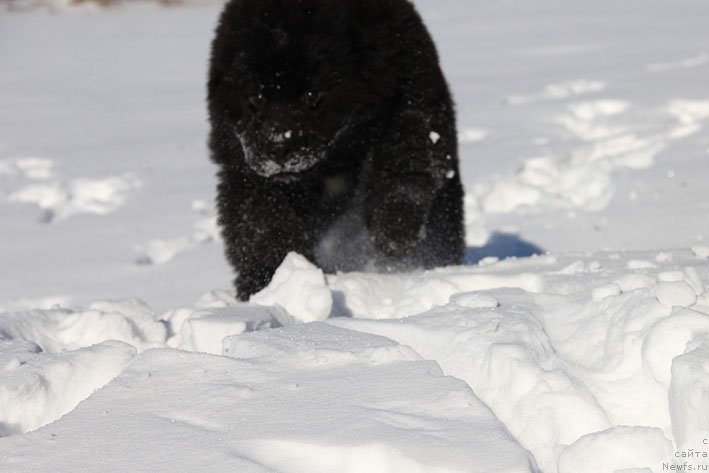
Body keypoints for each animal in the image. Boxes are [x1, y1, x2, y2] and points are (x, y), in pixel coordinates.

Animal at [209, 0, 464, 300]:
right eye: (256, 98)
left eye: (311, 95)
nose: (279, 147)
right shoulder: (243, 164)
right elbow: (262, 220)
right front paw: (269, 279)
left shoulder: (409, 98)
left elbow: (403, 155)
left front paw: (395, 228)